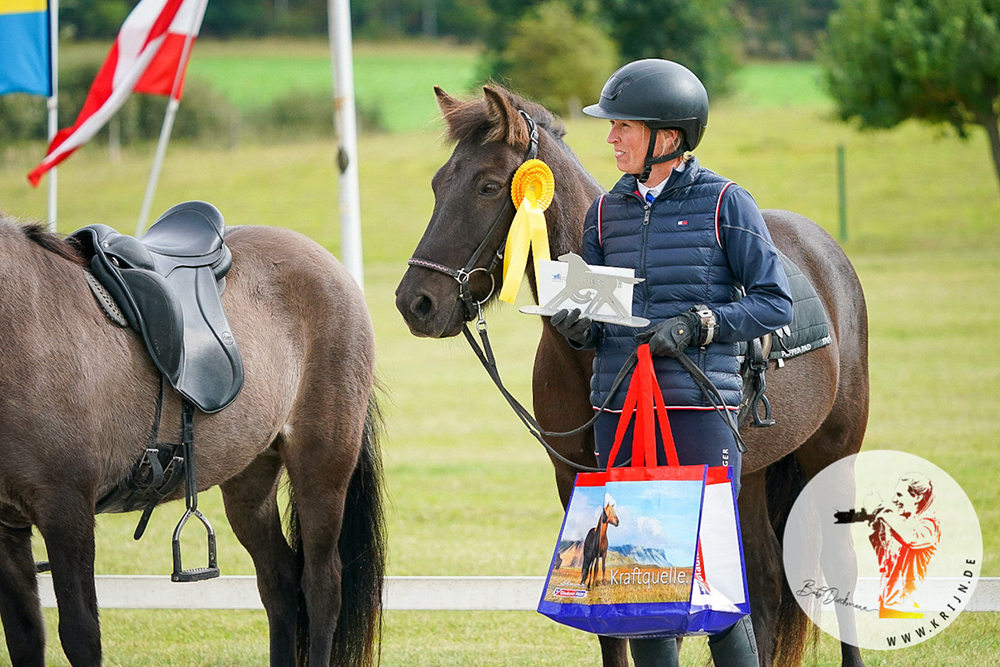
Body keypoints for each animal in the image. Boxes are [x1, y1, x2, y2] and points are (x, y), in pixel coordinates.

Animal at [0, 215, 384, 667]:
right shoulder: (8, 529)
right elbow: (25, 635)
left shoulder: (67, 513)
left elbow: (80, 636)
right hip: (250, 480)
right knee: (279, 581)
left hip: (323, 467)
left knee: (322, 586)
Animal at [394, 85, 872, 667]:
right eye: (439, 183)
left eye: (486, 185)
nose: (415, 302)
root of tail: (824, 250)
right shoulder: (576, 481)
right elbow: (611, 625)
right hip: (753, 473)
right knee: (759, 578)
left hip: (834, 449)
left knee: (839, 569)